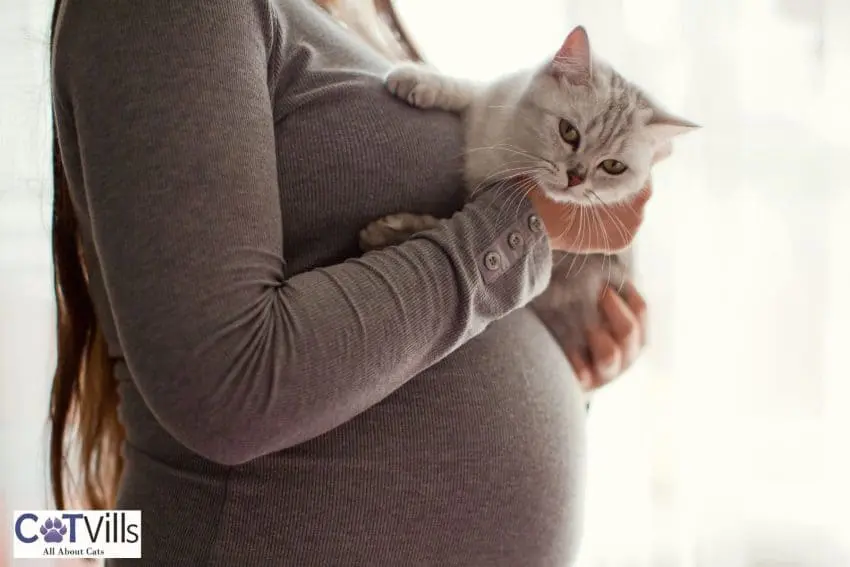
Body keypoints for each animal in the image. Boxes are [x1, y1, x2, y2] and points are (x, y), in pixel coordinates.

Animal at [358, 25, 696, 360]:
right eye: (568, 132)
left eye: (613, 166)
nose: (576, 177)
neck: (513, 156)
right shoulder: (491, 103)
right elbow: (469, 90)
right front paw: (419, 79)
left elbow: (442, 228)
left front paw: (390, 231)